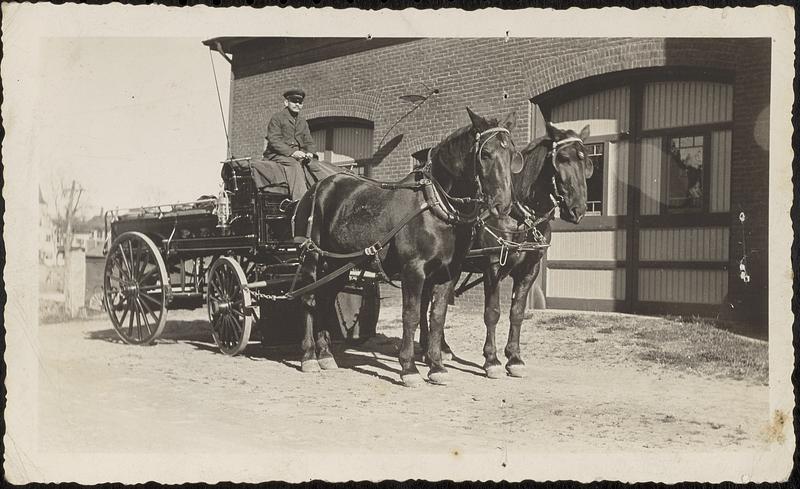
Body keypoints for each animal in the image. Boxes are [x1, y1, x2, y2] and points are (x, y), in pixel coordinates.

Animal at [290, 107, 520, 386]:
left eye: (512, 154)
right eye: (485, 154)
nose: (503, 205)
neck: (435, 206)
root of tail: (317, 187)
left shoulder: (448, 273)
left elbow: (437, 317)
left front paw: (436, 366)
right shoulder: (414, 270)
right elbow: (410, 316)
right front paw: (409, 368)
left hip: (338, 263)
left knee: (326, 298)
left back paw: (325, 354)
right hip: (311, 258)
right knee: (308, 298)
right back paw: (309, 356)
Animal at [418, 121, 592, 378]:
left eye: (587, 161)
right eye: (562, 158)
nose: (577, 209)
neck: (518, 216)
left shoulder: (530, 270)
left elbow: (517, 312)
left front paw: (515, 358)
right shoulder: (492, 266)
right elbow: (492, 313)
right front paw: (492, 360)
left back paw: (442, 348)